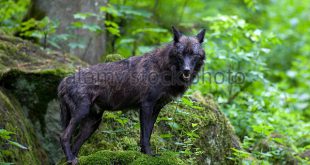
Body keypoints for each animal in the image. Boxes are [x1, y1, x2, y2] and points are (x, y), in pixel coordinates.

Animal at [58, 26, 206, 164]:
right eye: (180, 54)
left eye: (194, 55)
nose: (186, 70)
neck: (164, 68)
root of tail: (64, 81)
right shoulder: (146, 105)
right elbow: (145, 135)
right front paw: (148, 155)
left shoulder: (156, 109)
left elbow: (148, 133)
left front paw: (144, 154)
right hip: (81, 113)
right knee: (64, 136)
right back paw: (71, 158)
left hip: (92, 123)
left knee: (75, 143)